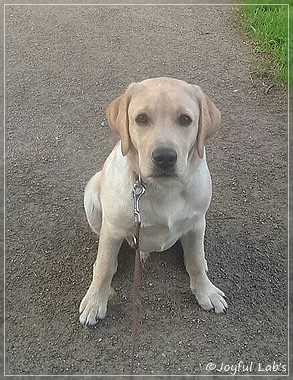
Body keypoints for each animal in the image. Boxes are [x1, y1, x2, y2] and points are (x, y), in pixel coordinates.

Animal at [79, 78, 226, 326]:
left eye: (185, 119)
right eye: (141, 119)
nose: (165, 157)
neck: (163, 188)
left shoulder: (197, 223)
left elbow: (195, 261)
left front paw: (206, 291)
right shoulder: (113, 227)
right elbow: (104, 267)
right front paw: (94, 301)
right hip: (92, 195)